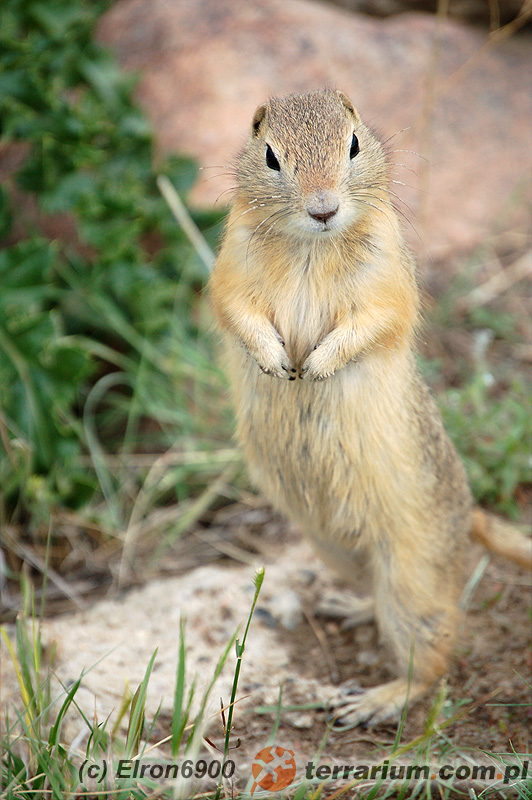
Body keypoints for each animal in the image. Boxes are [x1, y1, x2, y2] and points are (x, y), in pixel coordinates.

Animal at [209, 89, 532, 729]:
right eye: (271, 156)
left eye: (354, 144)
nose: (324, 208)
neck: (312, 245)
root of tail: (469, 516)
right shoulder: (232, 267)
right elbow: (239, 312)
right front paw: (277, 361)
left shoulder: (386, 281)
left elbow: (372, 324)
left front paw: (314, 367)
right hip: (337, 549)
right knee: (376, 600)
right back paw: (349, 607)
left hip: (413, 579)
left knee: (433, 657)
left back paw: (374, 701)